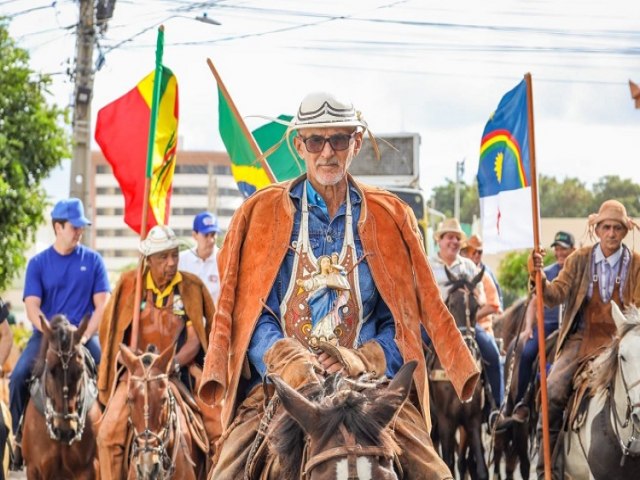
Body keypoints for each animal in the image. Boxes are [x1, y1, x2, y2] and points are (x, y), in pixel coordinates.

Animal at [428, 268, 488, 478]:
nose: (467, 346)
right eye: (451, 304)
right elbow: (447, 464)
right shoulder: (446, 421)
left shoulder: (473, 420)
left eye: (477, 306)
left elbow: (480, 468)